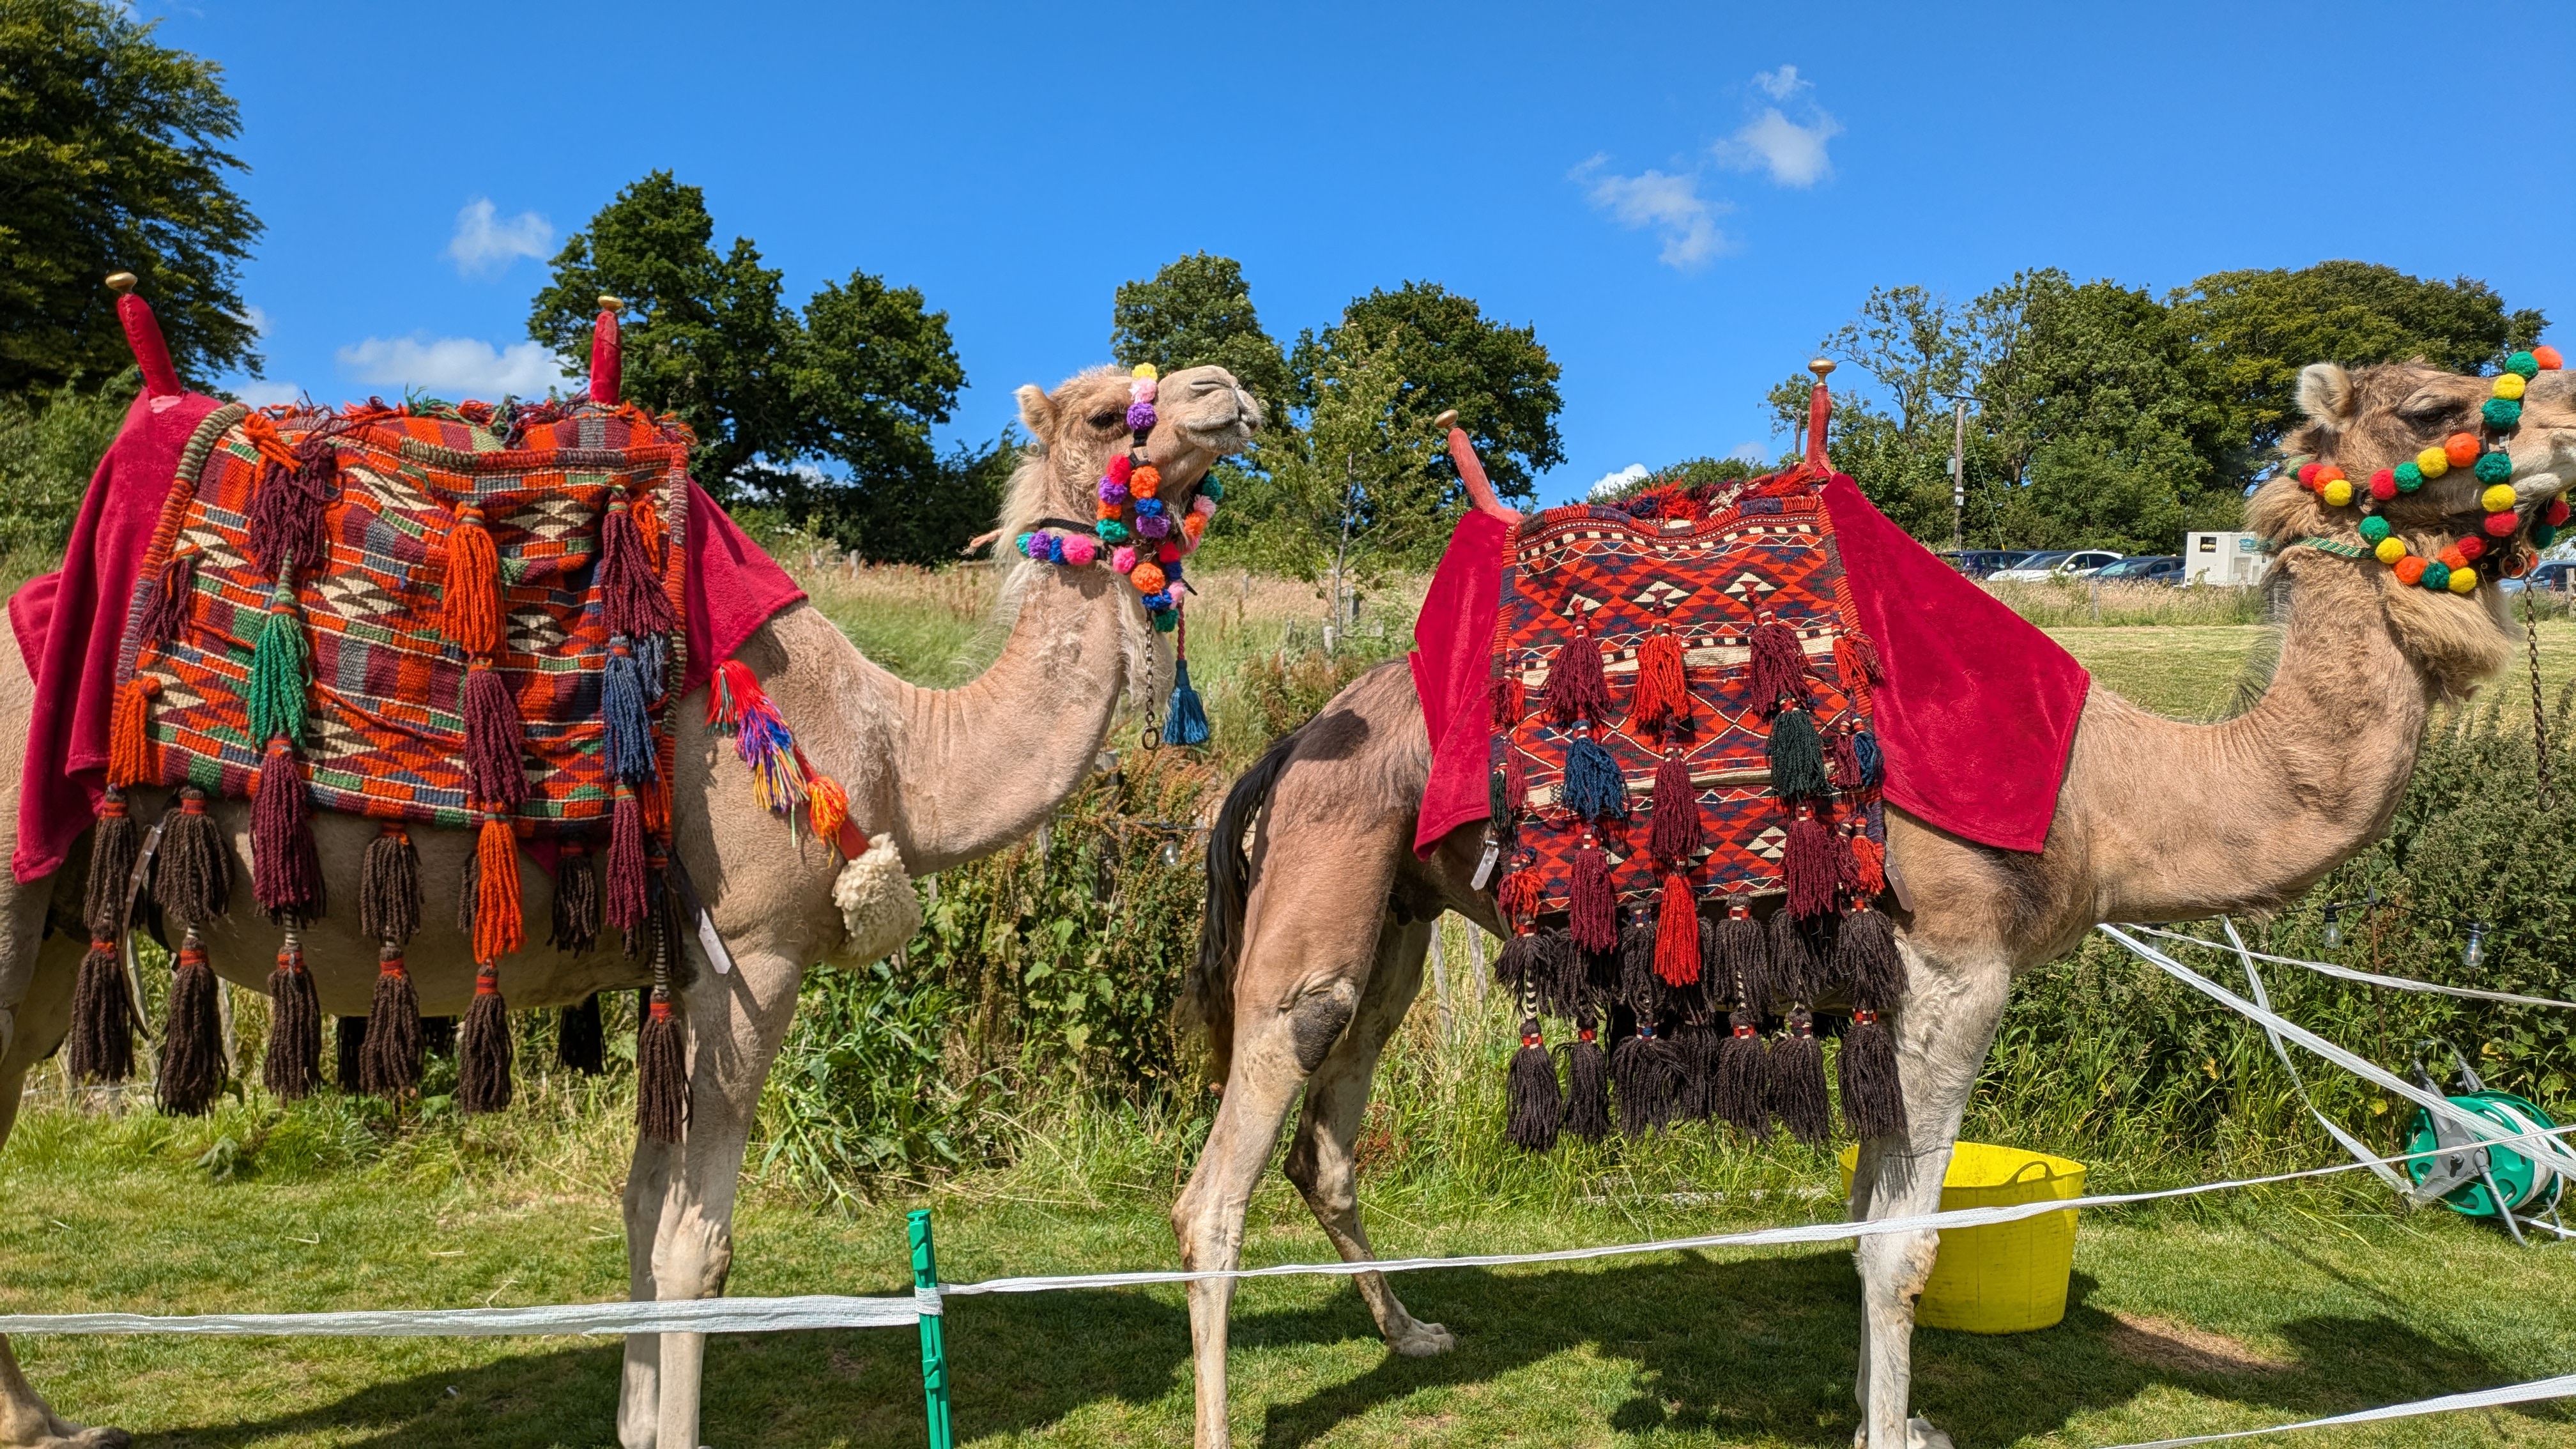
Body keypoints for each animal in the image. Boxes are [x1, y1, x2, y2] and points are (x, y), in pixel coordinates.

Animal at [0, 363, 1259, 1449]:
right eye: (1105, 413)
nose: (1227, 390)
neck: (898, 747)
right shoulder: (752, 955)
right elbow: (698, 1243)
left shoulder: (678, 967)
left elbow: (642, 1211)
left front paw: (639, 1421)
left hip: (58, 926)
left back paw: (56, 1424)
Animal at [1174, 359, 2575, 1448]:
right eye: (2440, 405)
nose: (2567, 421)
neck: (2112, 792)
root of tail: (1294, 736)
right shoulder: (1962, 963)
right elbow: (1902, 1243)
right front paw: (1897, 1426)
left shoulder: (1883, 982)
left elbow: (1863, 1213)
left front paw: (1890, 1412)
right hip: (1328, 874)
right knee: (1221, 1174)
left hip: (1396, 910)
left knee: (1328, 1134)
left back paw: (1415, 1329)